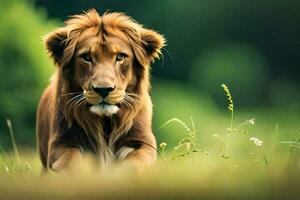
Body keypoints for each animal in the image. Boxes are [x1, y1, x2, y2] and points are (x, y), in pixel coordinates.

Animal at [36, 8, 165, 173]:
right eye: (86, 57)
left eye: (120, 57)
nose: (103, 90)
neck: (105, 124)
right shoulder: (60, 145)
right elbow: (74, 163)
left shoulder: (143, 144)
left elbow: (132, 165)